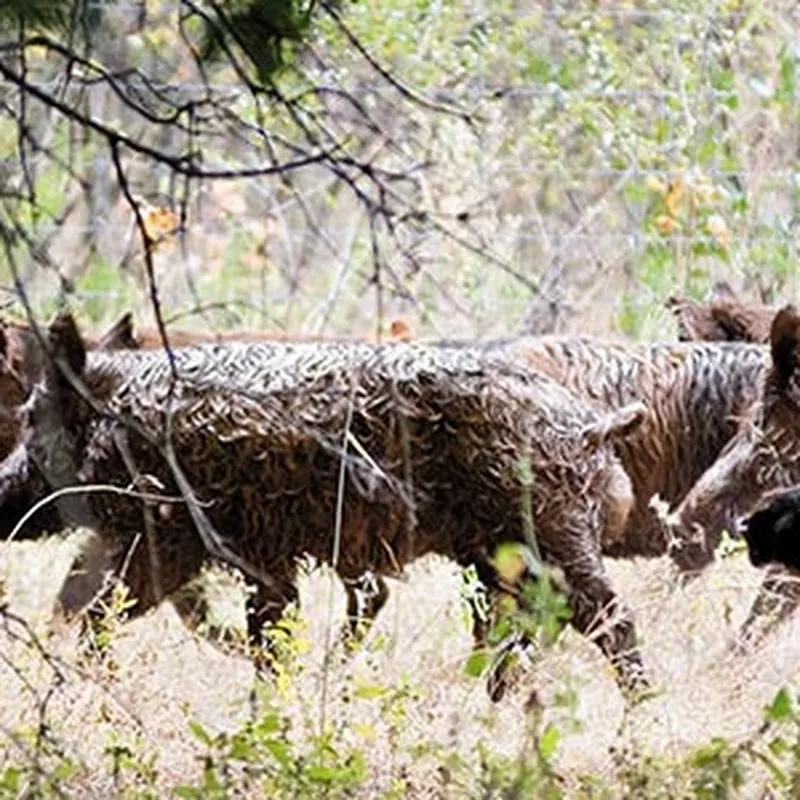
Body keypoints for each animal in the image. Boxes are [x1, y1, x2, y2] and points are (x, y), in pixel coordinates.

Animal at [0, 312, 648, 700]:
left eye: (32, 419)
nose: (4, 493)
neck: (124, 420)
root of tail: (596, 427)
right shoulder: (251, 559)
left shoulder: (179, 543)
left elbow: (106, 617)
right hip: (495, 561)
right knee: (510, 631)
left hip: (555, 541)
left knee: (612, 619)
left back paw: (637, 714)